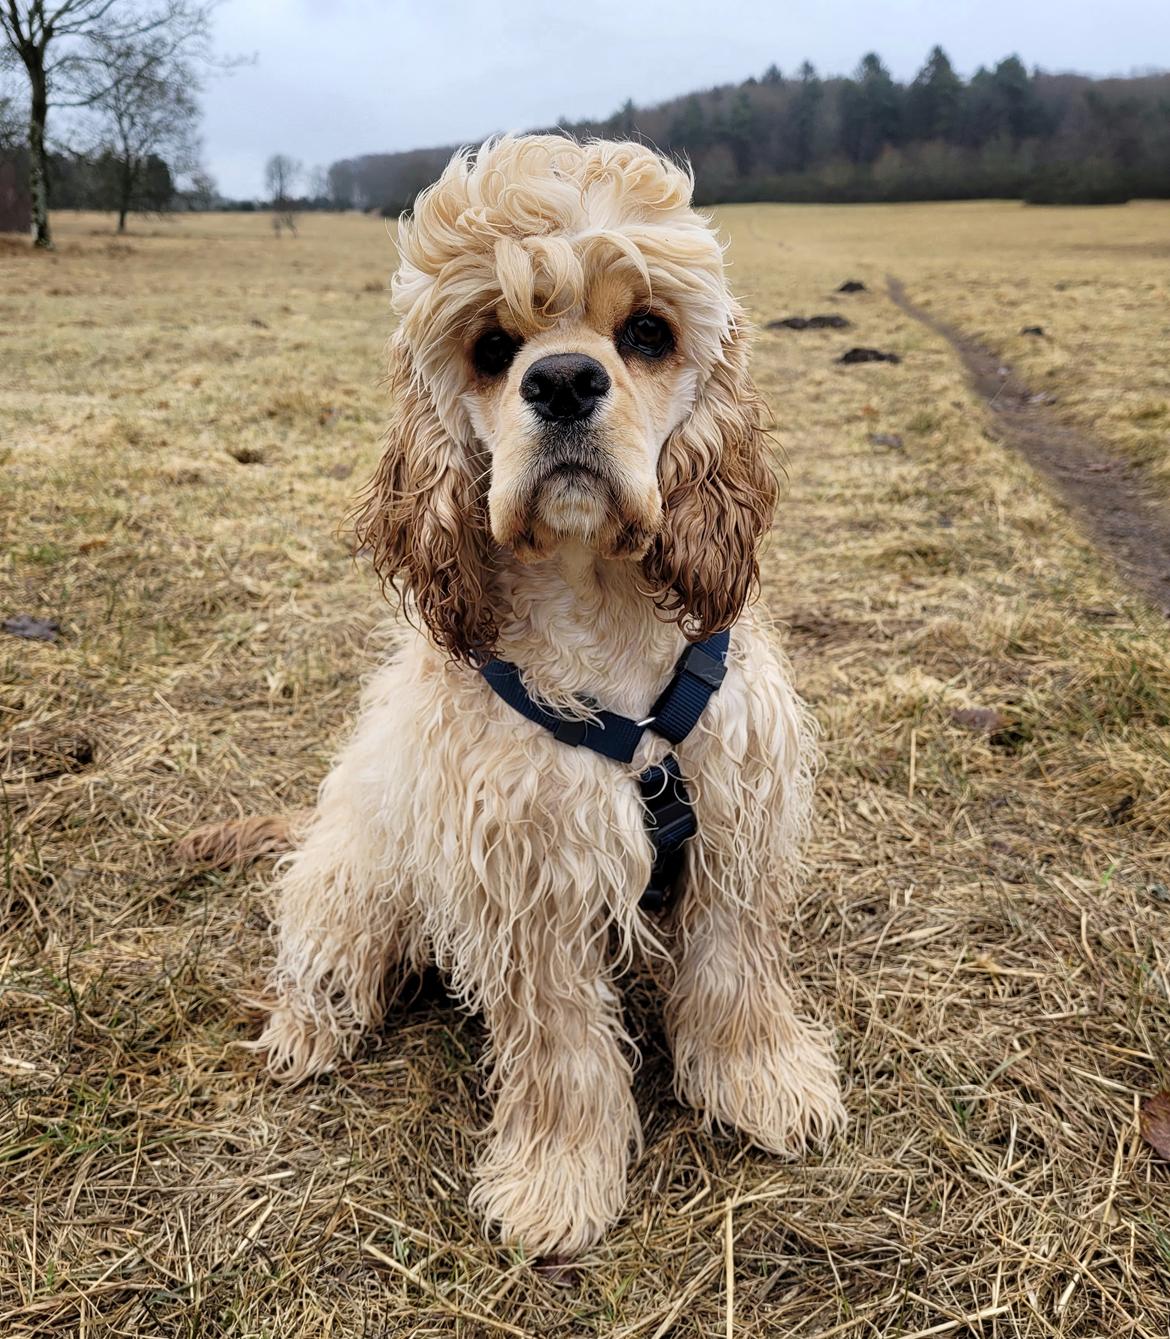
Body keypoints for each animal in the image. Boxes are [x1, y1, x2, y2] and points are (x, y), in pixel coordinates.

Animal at [180, 133, 840, 1253]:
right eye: (493, 347)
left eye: (648, 331)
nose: (565, 379)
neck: (595, 603)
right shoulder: (527, 872)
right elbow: (562, 1047)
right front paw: (557, 1184)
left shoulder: (734, 822)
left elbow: (735, 974)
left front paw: (765, 1085)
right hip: (353, 878)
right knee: (325, 956)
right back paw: (308, 1031)